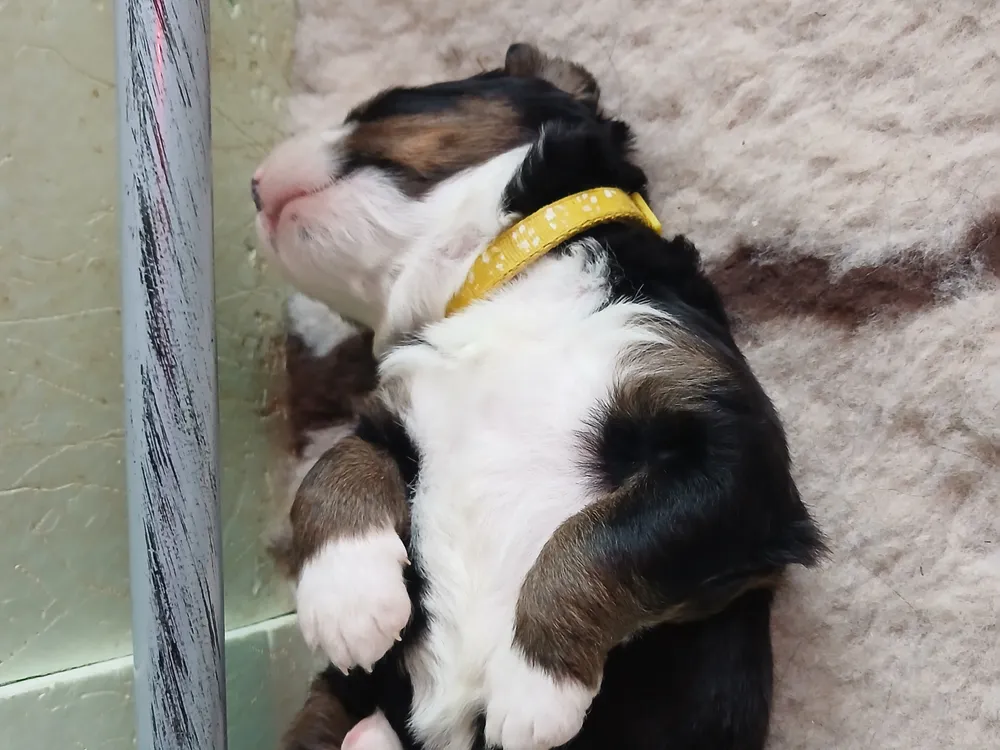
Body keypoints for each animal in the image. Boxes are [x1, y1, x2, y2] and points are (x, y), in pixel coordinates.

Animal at [254, 43, 825, 750]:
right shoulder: (396, 412)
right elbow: (334, 463)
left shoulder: (730, 450)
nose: (251, 184)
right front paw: (346, 598)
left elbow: (599, 538)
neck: (507, 277)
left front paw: (533, 688)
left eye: (383, 102)